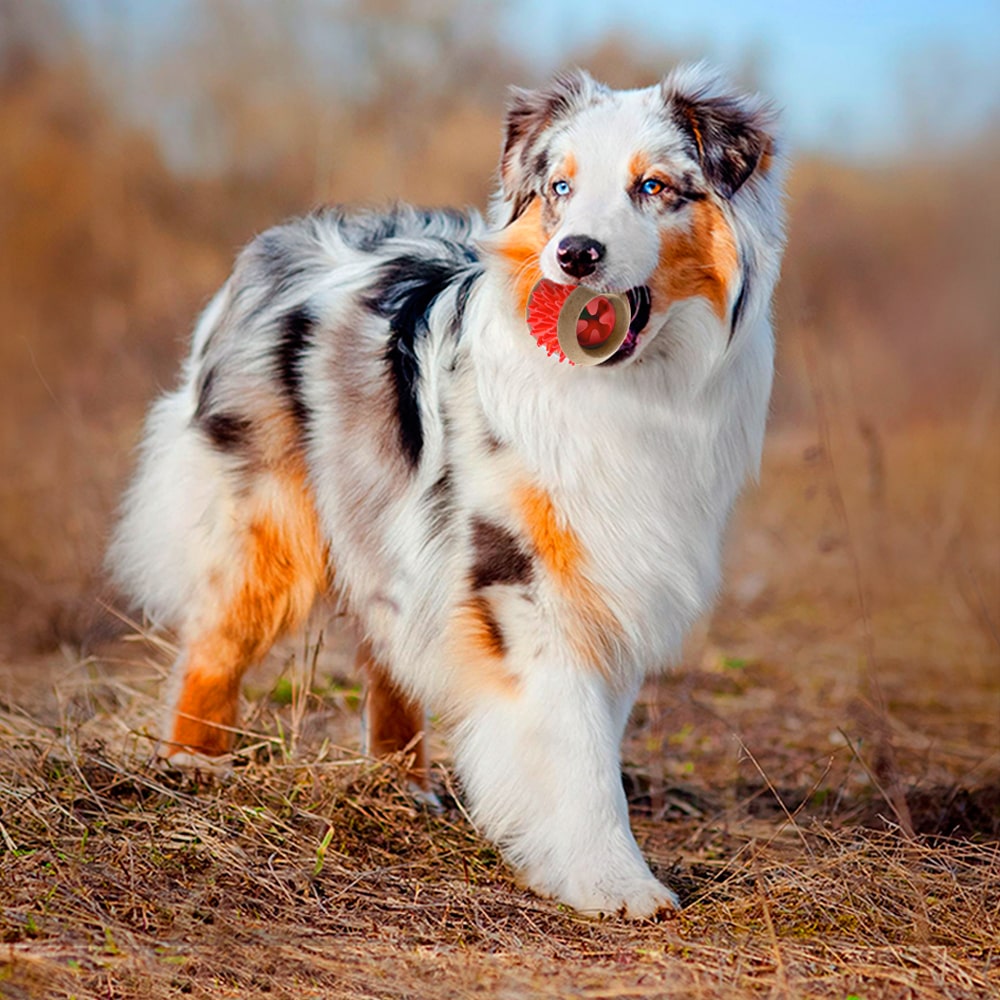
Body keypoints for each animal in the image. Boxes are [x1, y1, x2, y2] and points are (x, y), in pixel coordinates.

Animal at [107, 66, 780, 916]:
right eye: (560, 188)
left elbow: (589, 729)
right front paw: (612, 882)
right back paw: (193, 765)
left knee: (387, 649)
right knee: (217, 641)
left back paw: (402, 786)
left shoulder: (611, 573)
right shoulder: (517, 576)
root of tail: (278, 243)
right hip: (270, 521)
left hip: (387, 525)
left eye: (654, 186)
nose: (575, 255)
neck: (626, 391)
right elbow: (575, 744)